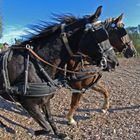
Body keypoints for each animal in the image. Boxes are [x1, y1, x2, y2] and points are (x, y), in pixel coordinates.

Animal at [0, 5, 118, 138]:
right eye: (102, 34)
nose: (114, 62)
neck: (35, 65)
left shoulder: (46, 100)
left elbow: (50, 119)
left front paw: (59, 133)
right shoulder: (29, 104)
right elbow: (46, 126)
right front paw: (32, 131)